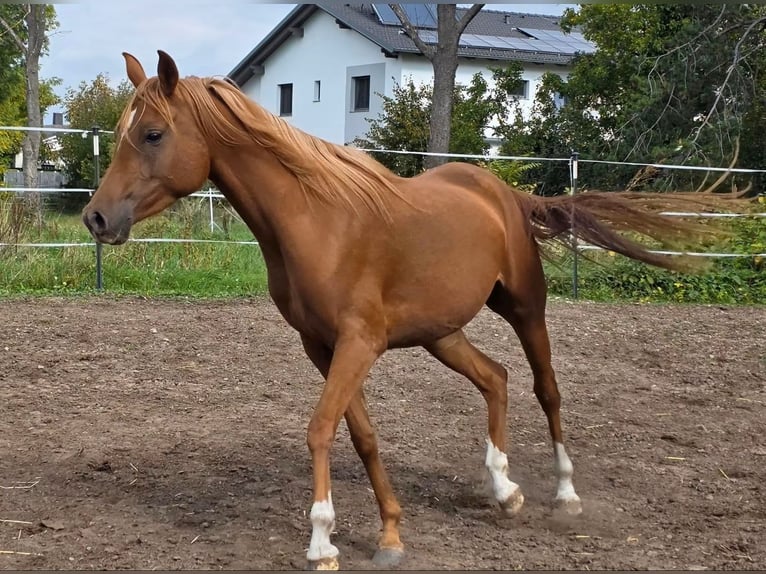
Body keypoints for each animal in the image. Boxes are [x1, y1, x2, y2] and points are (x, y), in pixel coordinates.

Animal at [82, 51, 712, 570]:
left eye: (153, 133)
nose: (96, 218)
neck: (318, 222)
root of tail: (505, 193)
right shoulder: (324, 346)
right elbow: (362, 436)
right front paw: (389, 535)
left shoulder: (358, 344)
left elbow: (319, 428)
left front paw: (322, 543)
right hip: (443, 332)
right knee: (496, 378)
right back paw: (504, 490)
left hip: (525, 308)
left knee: (546, 390)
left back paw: (565, 495)